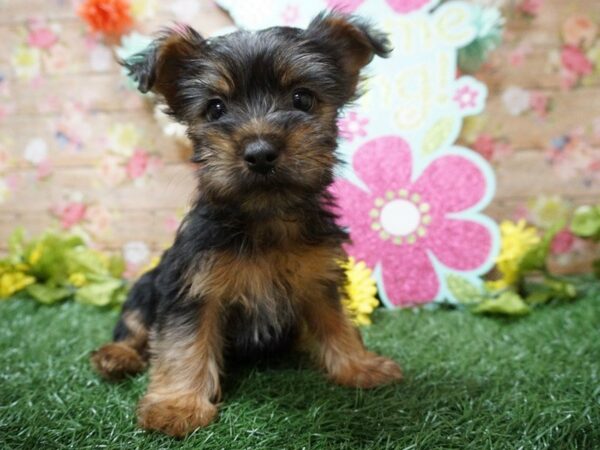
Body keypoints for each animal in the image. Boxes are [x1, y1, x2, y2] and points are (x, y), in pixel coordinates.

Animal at [91, 13, 404, 436]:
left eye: (302, 99)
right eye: (215, 108)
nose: (260, 153)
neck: (264, 216)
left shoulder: (318, 278)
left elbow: (336, 320)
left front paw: (359, 365)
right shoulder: (192, 285)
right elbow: (182, 343)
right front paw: (177, 406)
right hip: (146, 285)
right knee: (134, 324)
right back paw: (117, 355)